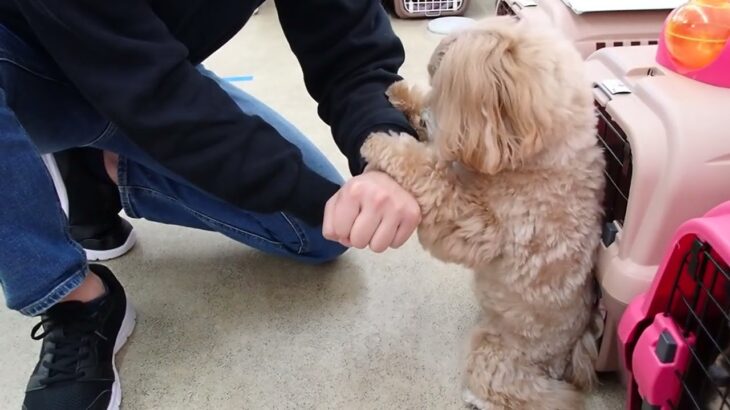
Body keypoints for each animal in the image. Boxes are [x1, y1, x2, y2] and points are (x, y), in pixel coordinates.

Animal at [362, 16, 604, 410]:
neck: (544, 157)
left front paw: (383, 144)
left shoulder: (477, 222)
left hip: (497, 355)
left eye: (442, 87)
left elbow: (429, 174)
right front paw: (401, 95)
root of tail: (568, 356)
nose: (426, 115)